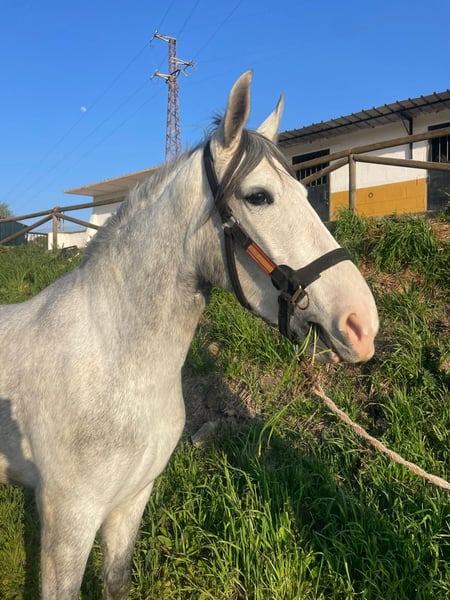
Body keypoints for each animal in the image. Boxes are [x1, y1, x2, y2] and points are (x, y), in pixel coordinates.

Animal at [0, 71, 378, 599]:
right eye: (259, 196)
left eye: (308, 196)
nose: (362, 323)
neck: (113, 361)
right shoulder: (66, 520)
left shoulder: (130, 503)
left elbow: (116, 582)